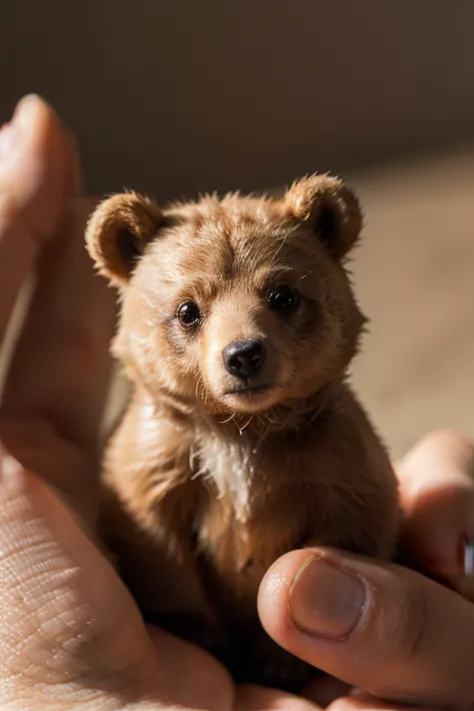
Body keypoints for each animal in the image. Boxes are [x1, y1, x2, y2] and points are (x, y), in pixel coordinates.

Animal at [85, 175, 400, 692]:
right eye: (188, 309)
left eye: (284, 295)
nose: (244, 355)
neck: (242, 429)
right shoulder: (160, 461)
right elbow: (156, 544)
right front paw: (199, 634)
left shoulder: (335, 462)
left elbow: (352, 522)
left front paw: (281, 658)